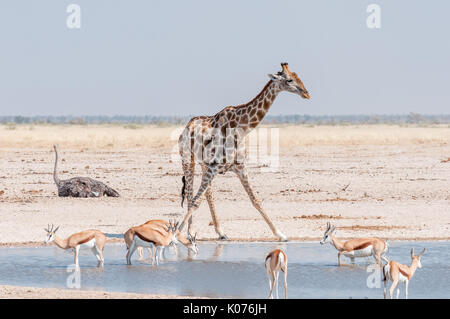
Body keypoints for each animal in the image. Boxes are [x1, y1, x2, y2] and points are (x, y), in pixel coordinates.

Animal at [176, 63, 310, 242]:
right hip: (187, 159)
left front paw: (280, 234)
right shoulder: (214, 166)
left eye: (298, 76)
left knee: (208, 194)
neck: (242, 128)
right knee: (191, 194)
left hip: (203, 165)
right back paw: (191, 232)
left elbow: (256, 200)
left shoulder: (239, 167)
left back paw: (221, 232)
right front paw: (177, 233)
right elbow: (196, 201)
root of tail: (186, 127)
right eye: (289, 79)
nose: (306, 93)